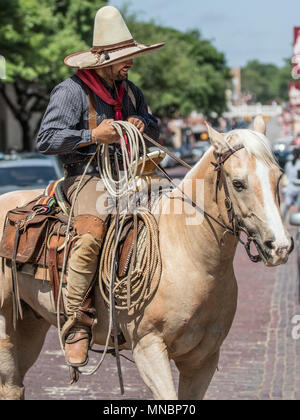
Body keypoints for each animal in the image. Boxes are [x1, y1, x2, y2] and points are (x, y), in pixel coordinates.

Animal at [0, 115, 292, 400]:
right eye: (238, 183)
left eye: (278, 177)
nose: (280, 246)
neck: (189, 255)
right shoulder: (148, 347)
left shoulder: (204, 358)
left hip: (30, 322)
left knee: (14, 385)